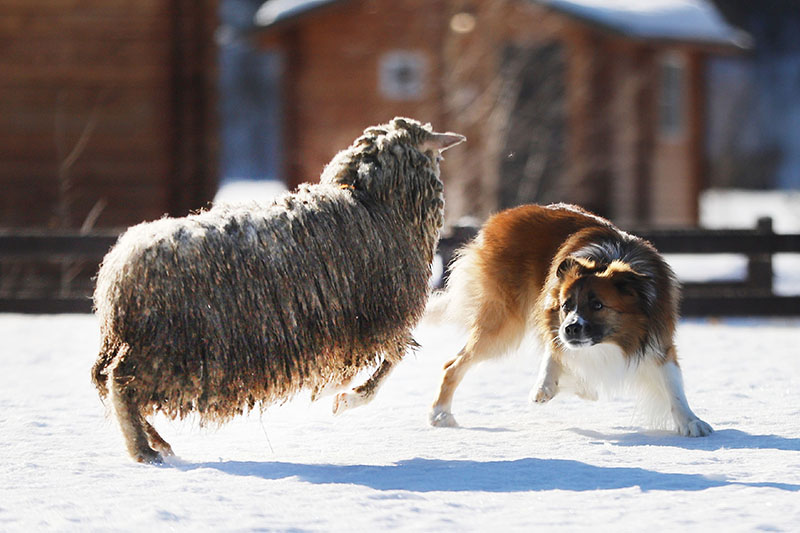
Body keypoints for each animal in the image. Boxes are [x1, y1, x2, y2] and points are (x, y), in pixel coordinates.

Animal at [90, 116, 466, 462]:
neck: (372, 202)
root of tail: (119, 269)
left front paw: (337, 390)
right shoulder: (381, 317)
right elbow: (389, 363)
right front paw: (343, 395)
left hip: (152, 346)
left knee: (113, 384)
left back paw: (158, 443)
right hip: (168, 348)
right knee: (120, 386)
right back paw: (143, 450)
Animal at [432, 202, 712, 434]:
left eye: (598, 305)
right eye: (567, 305)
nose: (570, 329)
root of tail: (499, 218)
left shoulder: (658, 338)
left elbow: (673, 384)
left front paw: (691, 421)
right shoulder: (554, 316)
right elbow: (557, 352)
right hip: (504, 323)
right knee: (453, 366)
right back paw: (440, 413)